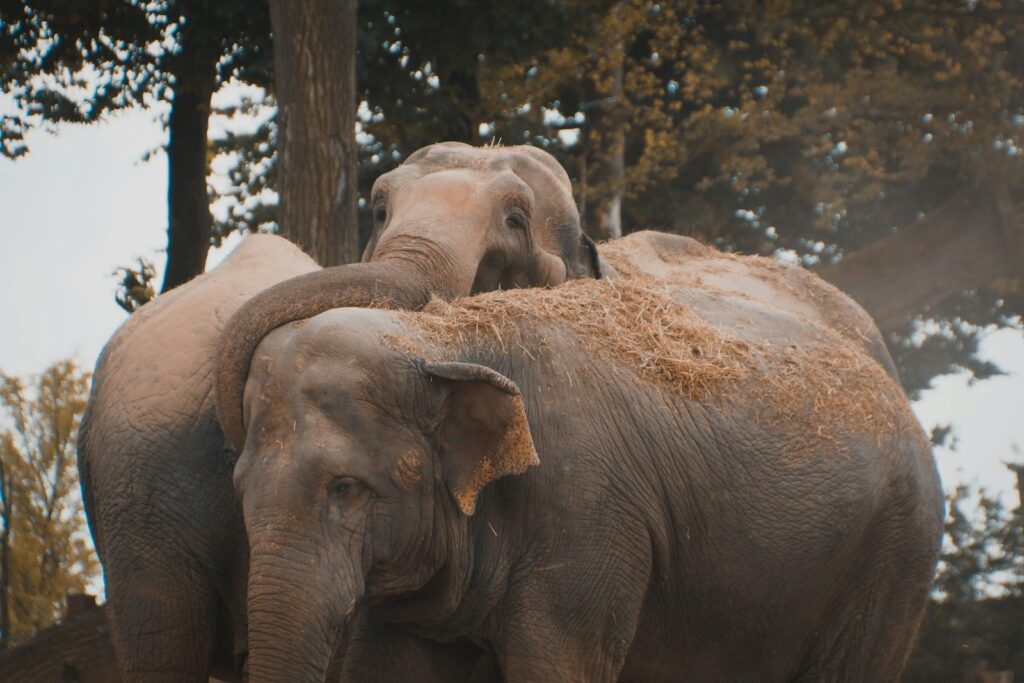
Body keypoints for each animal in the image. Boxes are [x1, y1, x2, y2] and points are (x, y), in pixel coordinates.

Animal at [226, 273, 943, 682]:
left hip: (894, 556)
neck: (445, 336)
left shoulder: (587, 513)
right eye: (239, 490)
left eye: (345, 488)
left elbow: (556, 664)